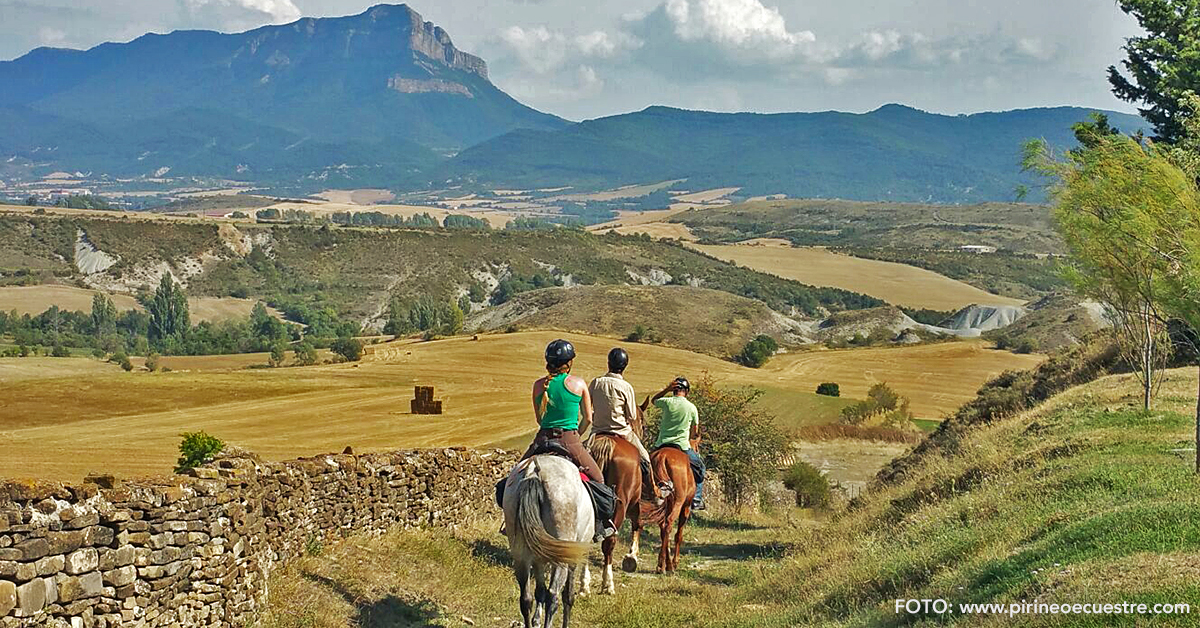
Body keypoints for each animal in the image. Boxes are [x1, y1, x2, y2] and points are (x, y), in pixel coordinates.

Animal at [501, 456, 595, 628]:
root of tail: (534, 471)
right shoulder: (572, 559)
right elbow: (568, 596)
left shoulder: (539, 560)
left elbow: (540, 592)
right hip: (560, 558)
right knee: (553, 597)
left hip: (521, 555)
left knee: (526, 599)